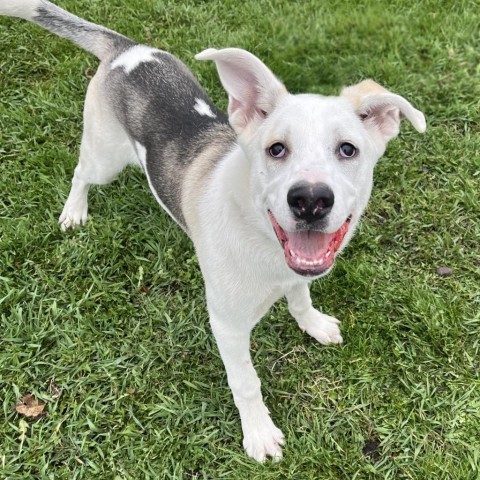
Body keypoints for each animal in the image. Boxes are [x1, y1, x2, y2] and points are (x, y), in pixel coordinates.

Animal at [0, 0, 428, 464]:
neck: (261, 240)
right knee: (81, 173)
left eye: (348, 149)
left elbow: (301, 300)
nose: (311, 200)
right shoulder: (227, 324)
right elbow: (246, 382)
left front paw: (313, 324)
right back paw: (74, 212)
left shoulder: (297, 272)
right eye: (276, 149)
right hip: (104, 155)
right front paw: (258, 433)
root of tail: (125, 49)